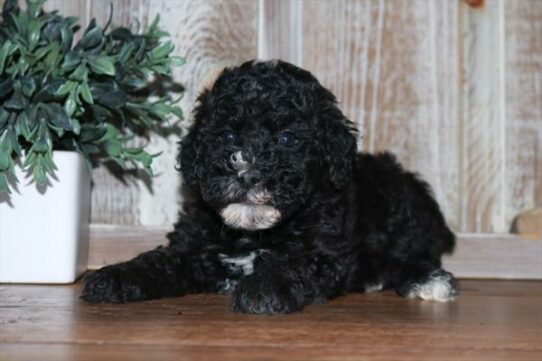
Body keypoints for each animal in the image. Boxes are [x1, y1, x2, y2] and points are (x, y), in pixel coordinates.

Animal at [84, 59, 460, 312]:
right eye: (228, 136)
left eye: (287, 138)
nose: (246, 170)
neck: (251, 233)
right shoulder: (192, 245)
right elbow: (158, 261)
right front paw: (115, 277)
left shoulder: (324, 252)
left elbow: (293, 263)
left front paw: (263, 287)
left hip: (402, 214)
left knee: (407, 255)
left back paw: (429, 280)